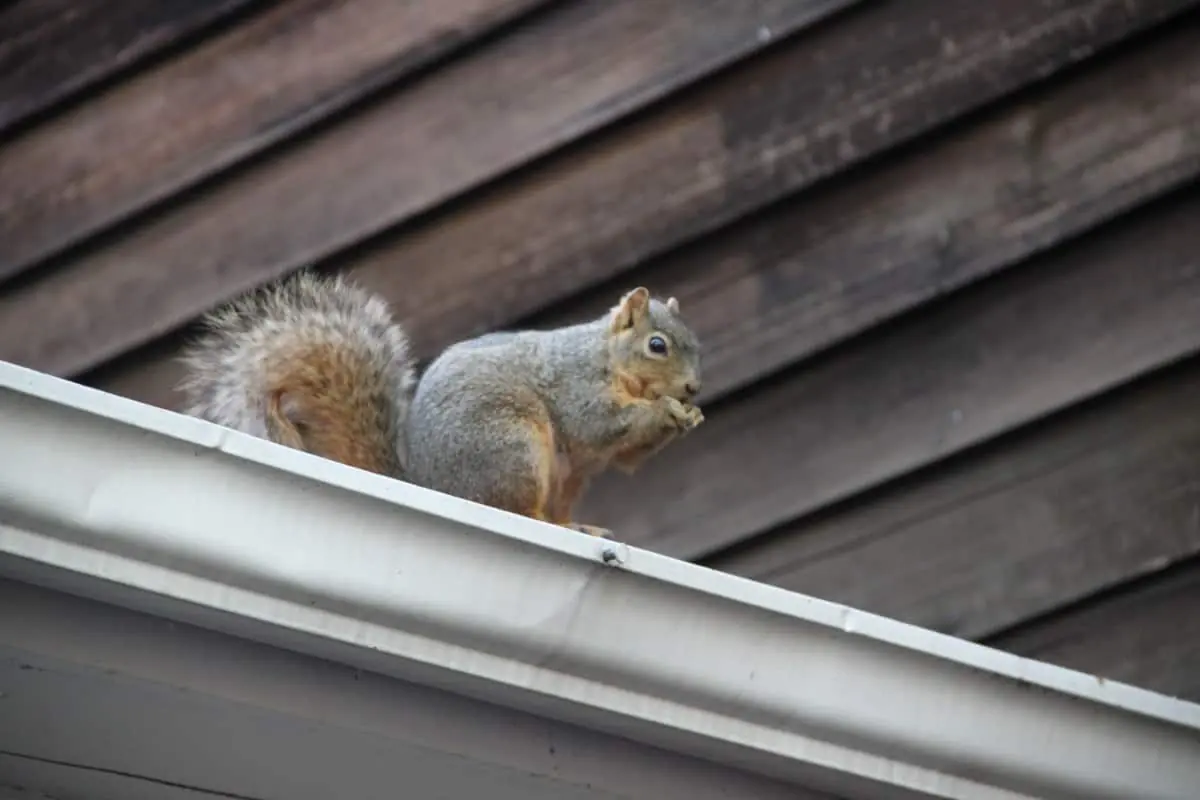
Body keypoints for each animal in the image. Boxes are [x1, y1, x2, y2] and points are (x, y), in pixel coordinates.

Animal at [178, 270, 704, 538]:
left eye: (696, 344)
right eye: (657, 345)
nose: (694, 388)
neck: (607, 358)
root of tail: (430, 485)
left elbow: (627, 456)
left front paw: (689, 417)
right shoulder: (577, 386)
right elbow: (601, 424)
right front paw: (666, 411)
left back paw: (579, 527)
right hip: (512, 447)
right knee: (513, 508)